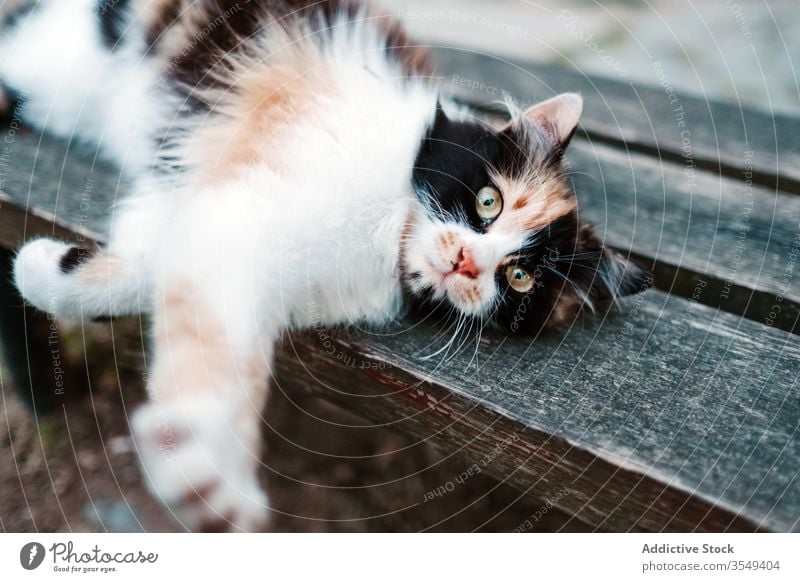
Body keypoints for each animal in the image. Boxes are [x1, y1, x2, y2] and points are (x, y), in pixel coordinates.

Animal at [0, 0, 648, 532]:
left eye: (519, 278)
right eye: (489, 201)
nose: (467, 262)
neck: (390, 235)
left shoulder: (211, 220)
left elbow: (152, 273)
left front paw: (46, 268)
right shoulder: (246, 203)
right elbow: (219, 338)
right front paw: (210, 470)